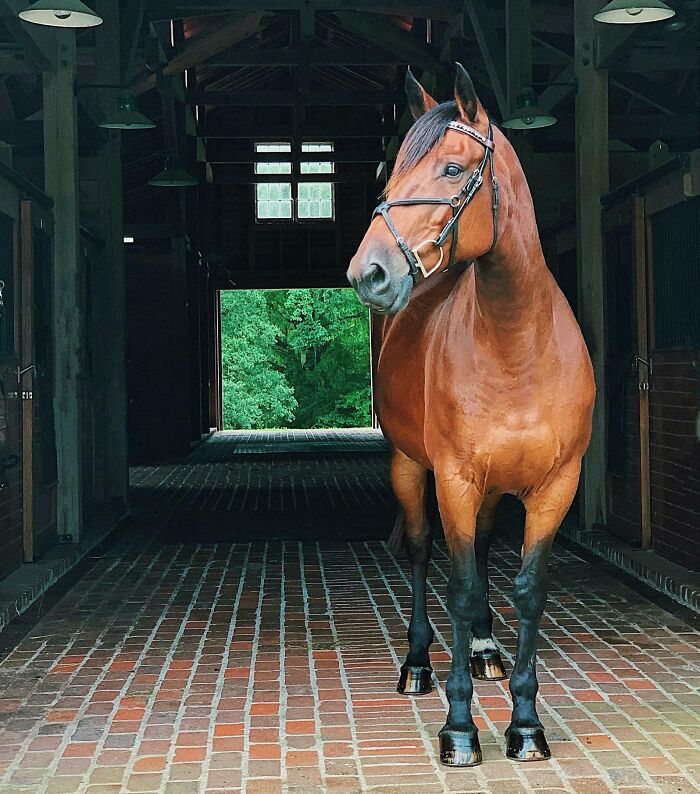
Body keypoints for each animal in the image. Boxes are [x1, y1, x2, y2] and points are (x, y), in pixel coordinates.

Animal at [347, 64, 595, 767]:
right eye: (393, 174)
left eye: (453, 169)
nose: (368, 273)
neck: (516, 346)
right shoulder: (454, 480)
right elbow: (456, 585)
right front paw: (459, 727)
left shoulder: (554, 487)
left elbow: (527, 590)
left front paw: (526, 725)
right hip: (411, 469)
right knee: (423, 552)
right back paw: (417, 665)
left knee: (481, 551)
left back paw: (485, 650)